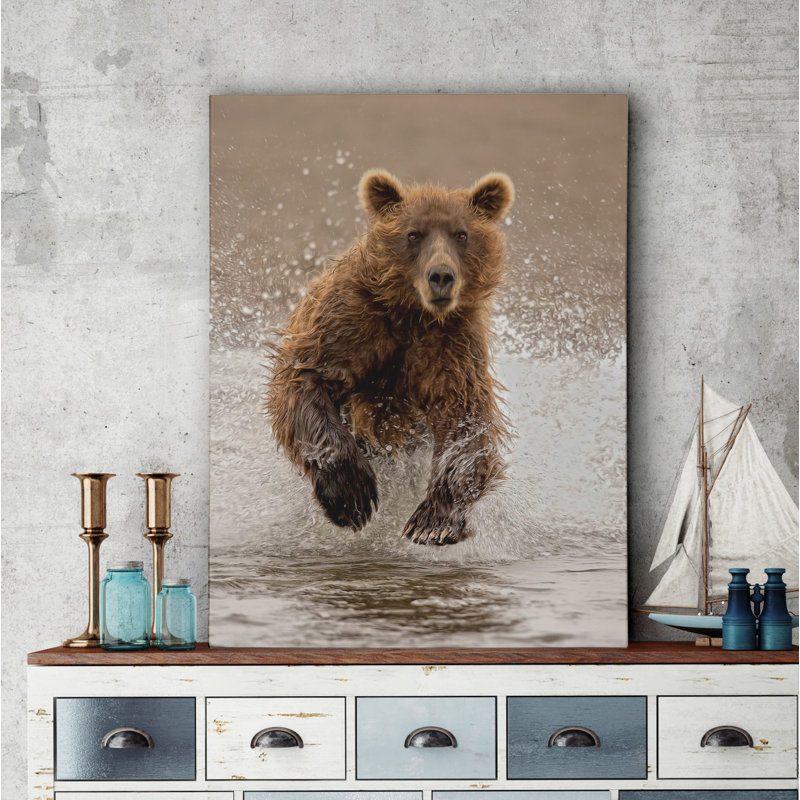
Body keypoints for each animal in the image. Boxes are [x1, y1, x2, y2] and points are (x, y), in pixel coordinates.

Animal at [265, 169, 514, 545]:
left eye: (461, 234)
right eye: (413, 234)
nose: (441, 276)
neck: (413, 314)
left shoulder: (451, 346)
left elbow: (465, 418)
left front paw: (433, 523)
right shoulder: (350, 324)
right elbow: (306, 379)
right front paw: (351, 497)